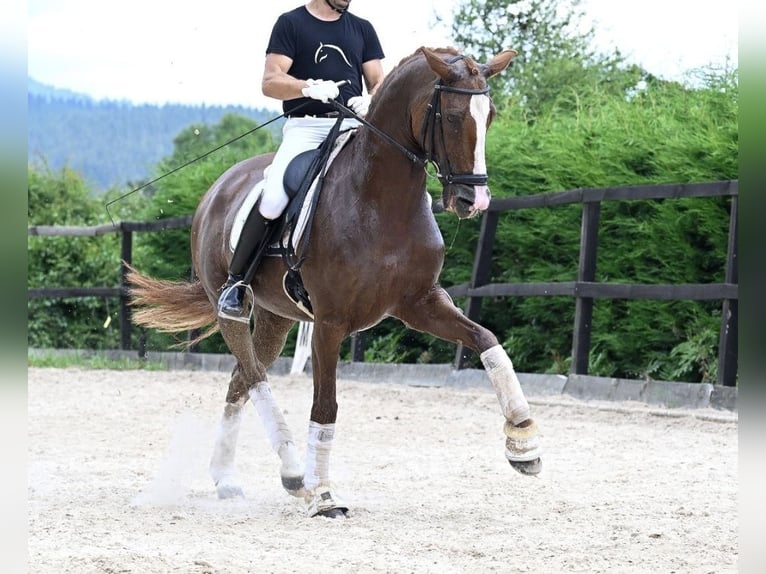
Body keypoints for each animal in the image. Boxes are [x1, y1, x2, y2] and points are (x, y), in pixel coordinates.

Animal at [129, 47, 544, 520]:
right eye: (454, 116)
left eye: (488, 115)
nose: (472, 200)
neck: (381, 202)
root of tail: (218, 188)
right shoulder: (330, 323)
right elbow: (325, 405)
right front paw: (326, 494)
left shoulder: (421, 303)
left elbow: (487, 340)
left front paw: (524, 441)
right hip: (231, 305)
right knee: (255, 376)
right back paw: (295, 472)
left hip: (275, 317)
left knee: (240, 380)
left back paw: (230, 478)